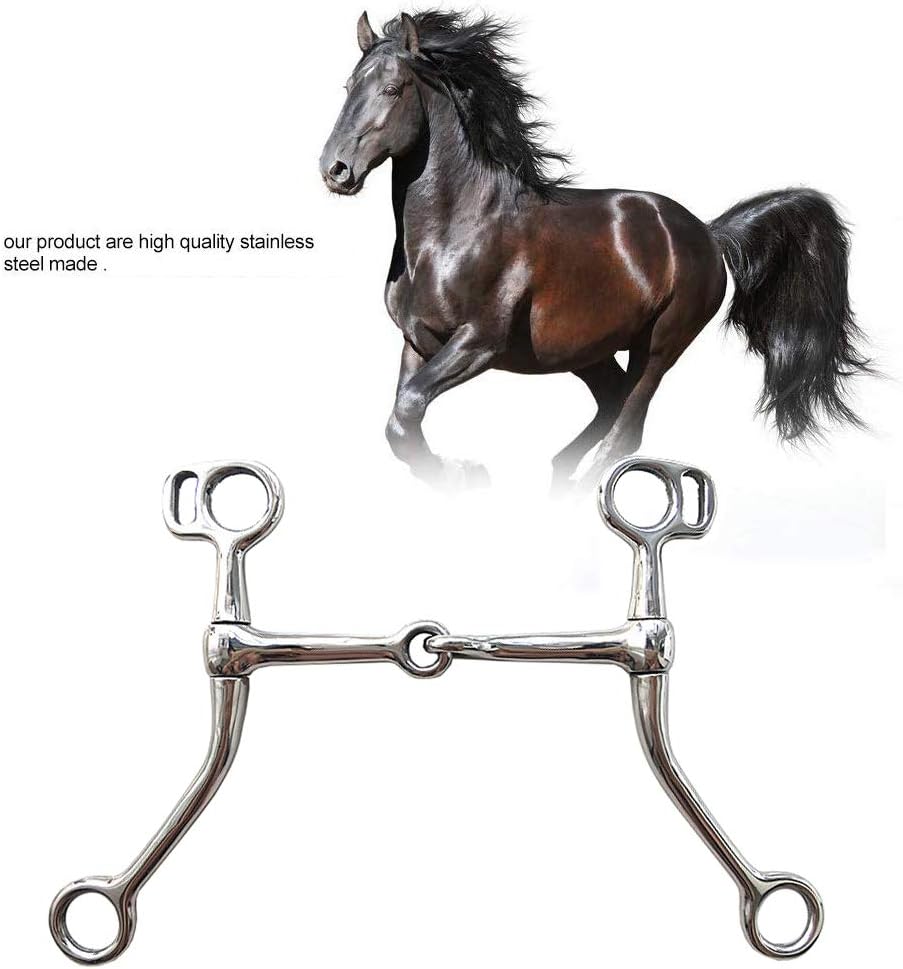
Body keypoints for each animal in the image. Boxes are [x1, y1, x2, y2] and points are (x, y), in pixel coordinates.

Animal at [319, 10, 870, 490]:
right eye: (347, 88)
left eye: (392, 89)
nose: (335, 169)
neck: (453, 234)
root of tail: (709, 234)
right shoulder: (417, 342)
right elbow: (401, 422)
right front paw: (458, 475)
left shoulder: (479, 341)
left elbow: (409, 408)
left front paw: (466, 474)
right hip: (586, 349)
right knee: (609, 404)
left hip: (659, 345)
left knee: (626, 429)